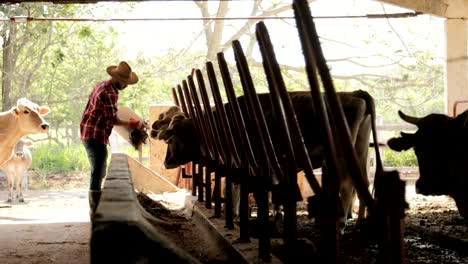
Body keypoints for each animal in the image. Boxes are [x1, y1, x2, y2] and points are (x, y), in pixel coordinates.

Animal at [152, 89, 378, 228]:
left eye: (170, 138)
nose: (166, 162)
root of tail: (354, 94)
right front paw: (273, 214)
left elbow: (246, 186)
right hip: (360, 150)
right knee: (363, 183)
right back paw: (359, 222)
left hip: (341, 154)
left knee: (347, 184)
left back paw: (341, 222)